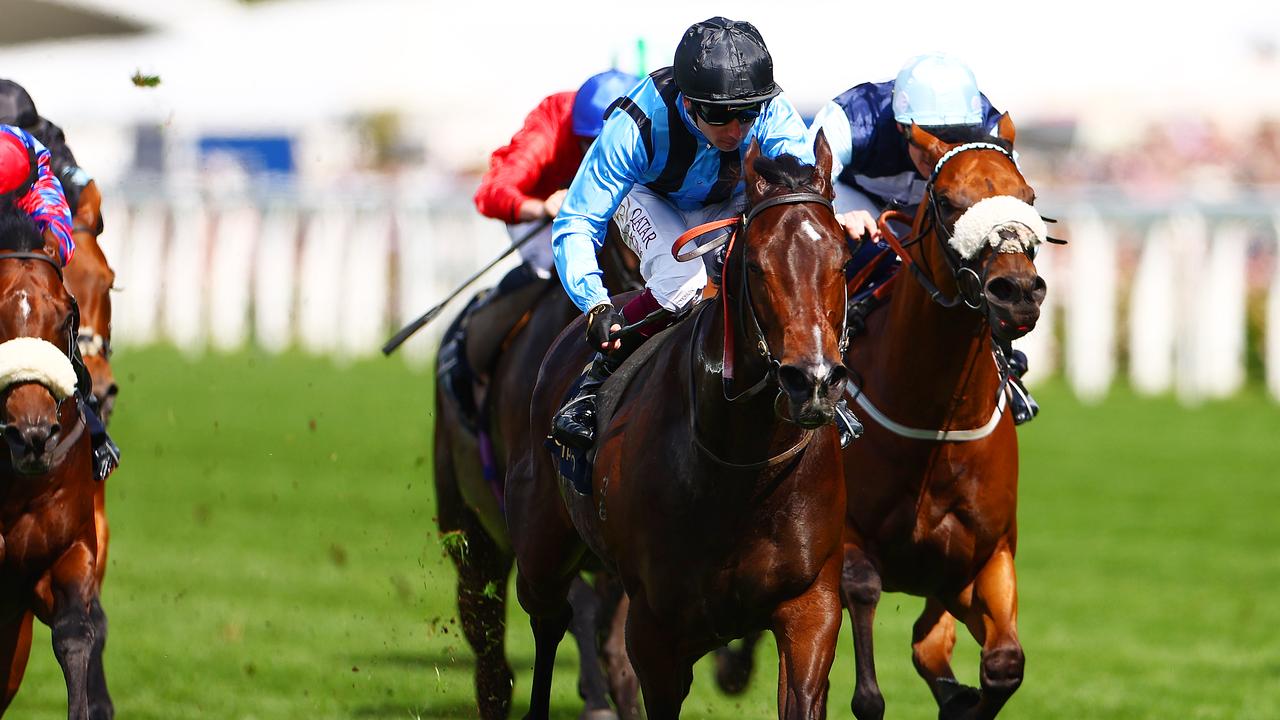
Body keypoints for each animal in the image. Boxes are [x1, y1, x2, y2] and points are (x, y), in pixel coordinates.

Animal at [506, 135, 849, 717]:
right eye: (755, 264)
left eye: (843, 259)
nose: (815, 381)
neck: (744, 468)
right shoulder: (655, 629)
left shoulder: (811, 605)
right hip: (541, 545)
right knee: (550, 620)